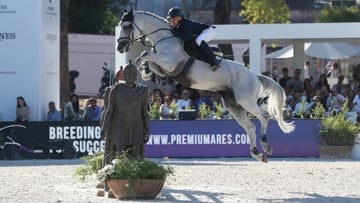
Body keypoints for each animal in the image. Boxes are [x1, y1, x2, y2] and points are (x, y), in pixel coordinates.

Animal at [116, 8, 294, 163]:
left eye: (126, 27)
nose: (120, 47)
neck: (165, 38)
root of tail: (255, 76)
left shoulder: (170, 63)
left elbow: (145, 54)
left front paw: (144, 70)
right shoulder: (165, 67)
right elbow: (147, 59)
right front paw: (146, 73)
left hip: (246, 101)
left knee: (264, 117)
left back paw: (265, 145)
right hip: (233, 105)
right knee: (250, 127)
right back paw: (258, 154)